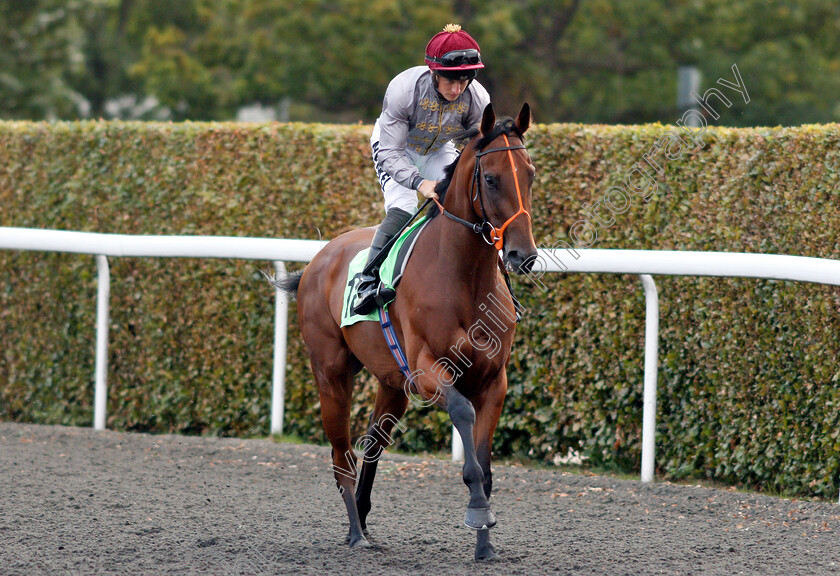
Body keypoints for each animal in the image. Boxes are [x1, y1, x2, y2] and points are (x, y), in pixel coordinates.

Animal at [278, 102, 536, 560]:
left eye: (531, 174)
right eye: (491, 179)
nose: (524, 255)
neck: (463, 276)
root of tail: (316, 261)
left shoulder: (494, 380)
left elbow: (486, 464)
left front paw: (485, 545)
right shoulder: (427, 370)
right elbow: (463, 418)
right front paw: (476, 512)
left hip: (391, 383)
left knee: (372, 441)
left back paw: (362, 520)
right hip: (331, 374)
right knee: (341, 453)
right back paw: (356, 534)